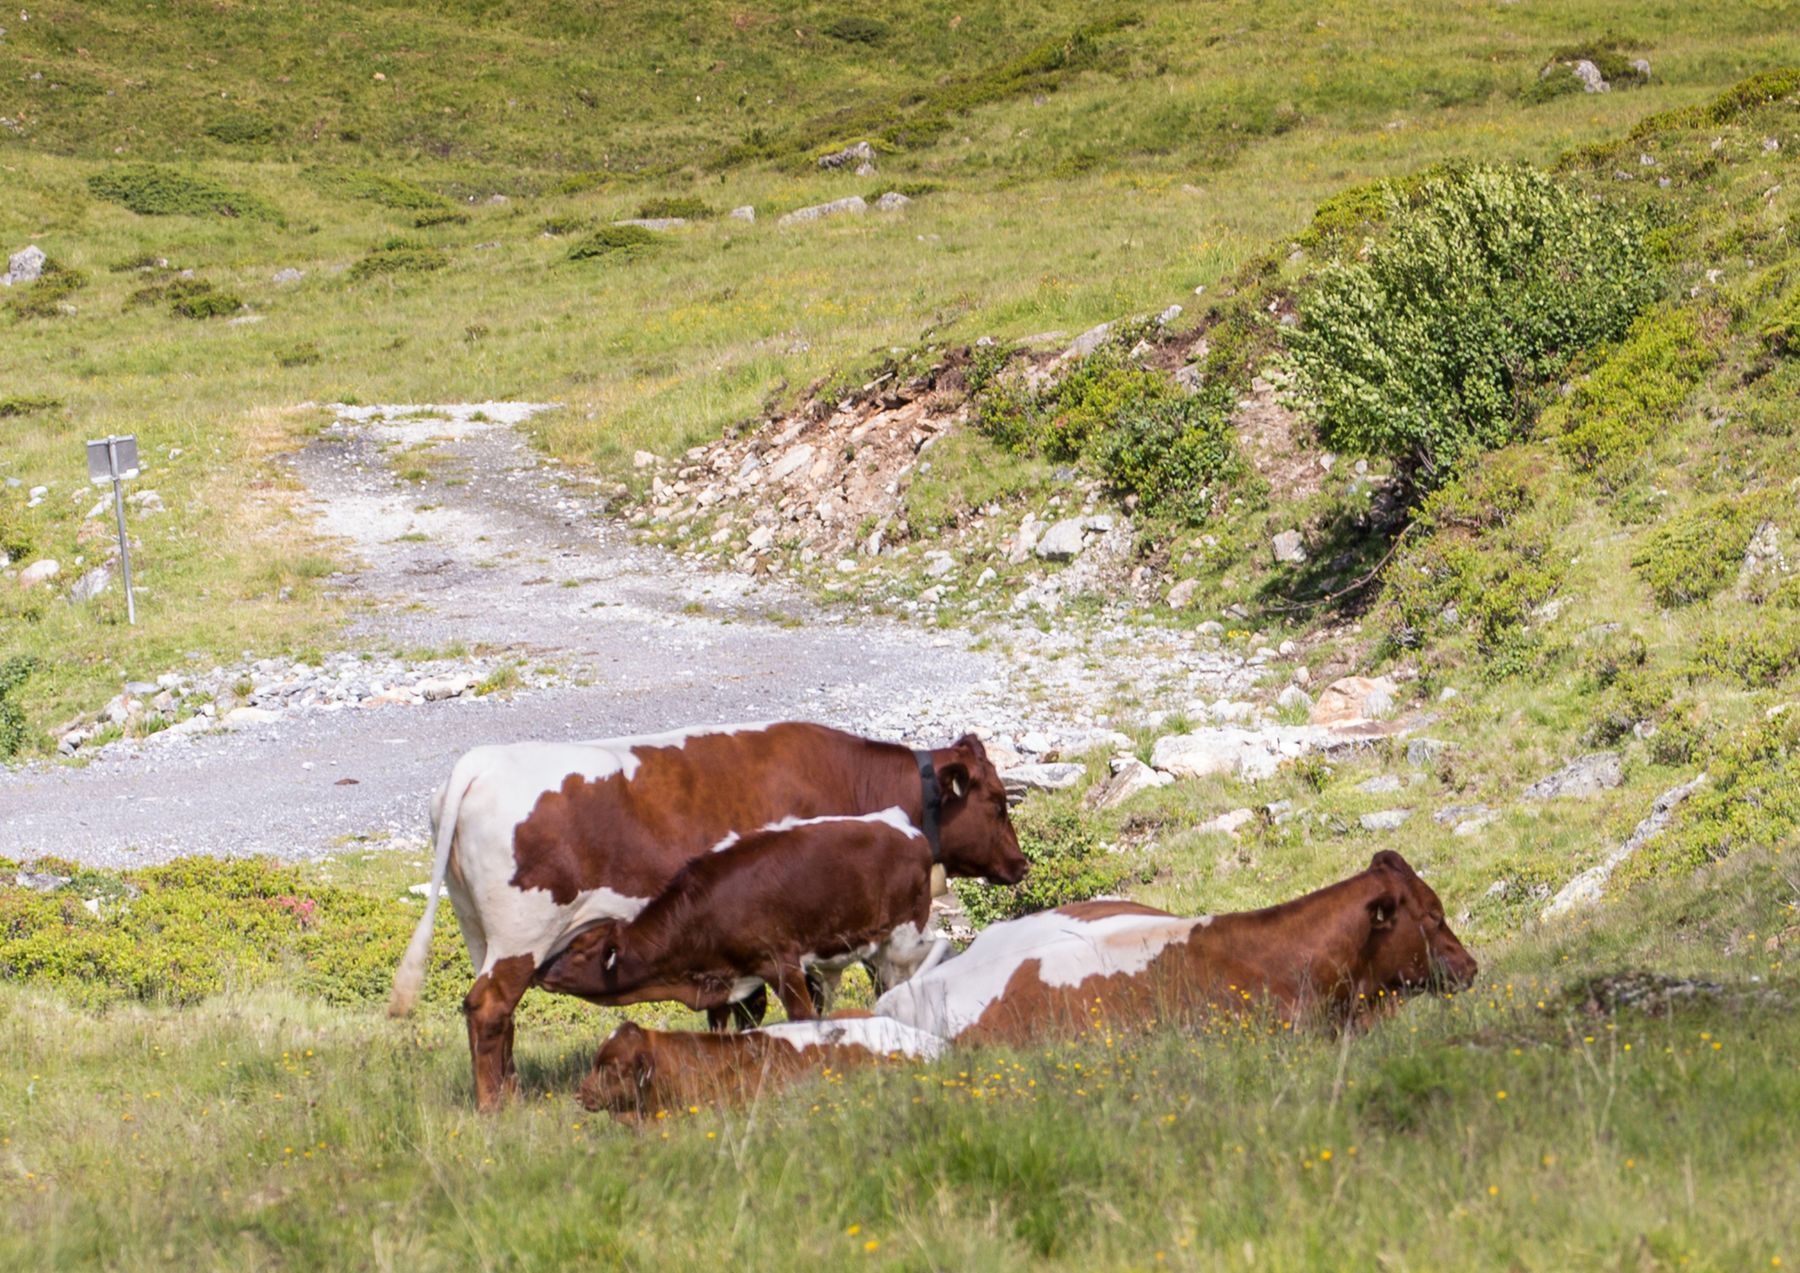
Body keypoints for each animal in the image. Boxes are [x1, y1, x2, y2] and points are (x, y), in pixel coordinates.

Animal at [536, 810, 950, 1022]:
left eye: (579, 951)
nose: (541, 971)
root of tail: (902, 825)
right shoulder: (725, 985)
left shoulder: (780, 962)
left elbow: (802, 1017)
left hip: (903, 936)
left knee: (932, 954)